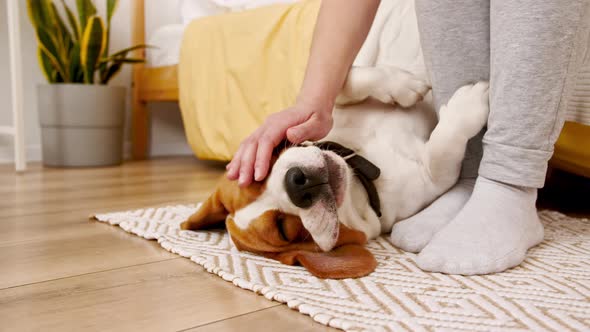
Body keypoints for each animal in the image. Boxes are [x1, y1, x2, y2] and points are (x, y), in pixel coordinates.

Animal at [182, 65, 490, 278]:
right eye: (285, 231)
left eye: (260, 174)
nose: (297, 183)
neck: (361, 171)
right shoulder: (433, 176)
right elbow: (441, 150)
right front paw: (468, 106)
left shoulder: (321, 114)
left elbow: (347, 82)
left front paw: (403, 85)